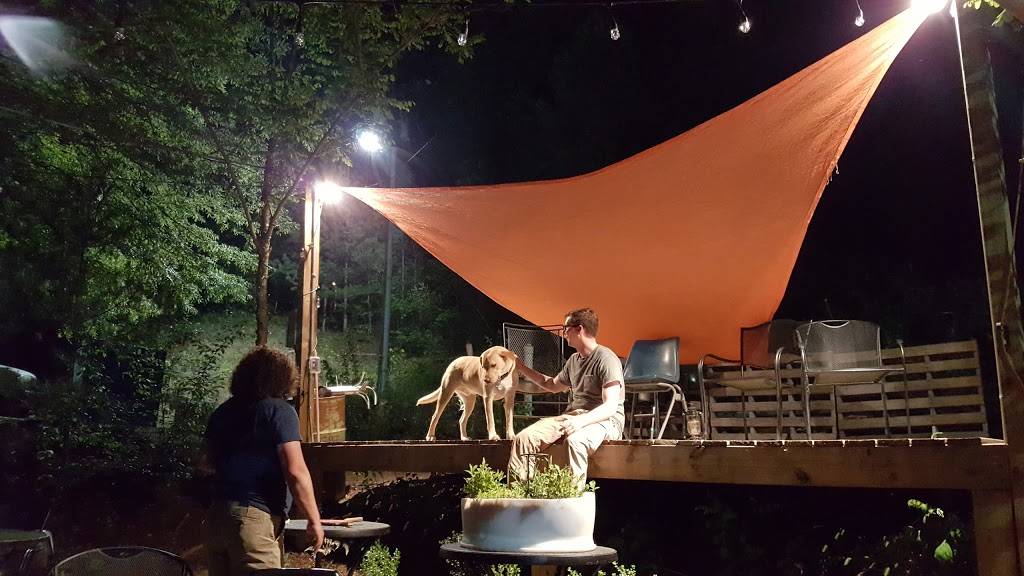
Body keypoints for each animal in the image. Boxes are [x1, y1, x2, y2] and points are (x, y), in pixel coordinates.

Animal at [417, 345, 545, 441]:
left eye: (494, 365)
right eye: (483, 366)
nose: (486, 380)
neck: (502, 378)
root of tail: (454, 361)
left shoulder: (509, 400)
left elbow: (509, 420)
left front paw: (511, 435)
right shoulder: (488, 398)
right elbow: (490, 419)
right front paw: (493, 436)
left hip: (470, 401)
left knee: (462, 420)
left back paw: (464, 437)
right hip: (446, 393)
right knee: (435, 416)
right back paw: (430, 436)